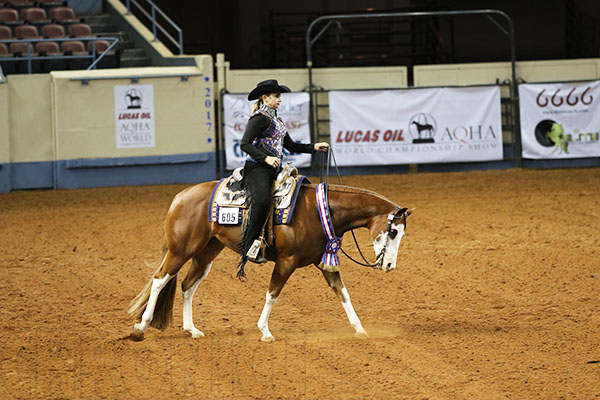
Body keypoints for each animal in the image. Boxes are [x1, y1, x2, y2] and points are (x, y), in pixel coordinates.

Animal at [125, 181, 408, 340]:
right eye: (393, 232)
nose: (390, 265)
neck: (319, 211)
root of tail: (179, 197)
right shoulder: (286, 261)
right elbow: (273, 293)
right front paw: (265, 331)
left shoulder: (324, 262)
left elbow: (343, 293)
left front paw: (360, 330)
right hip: (181, 250)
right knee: (160, 280)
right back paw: (141, 327)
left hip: (206, 252)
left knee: (187, 285)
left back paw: (191, 330)